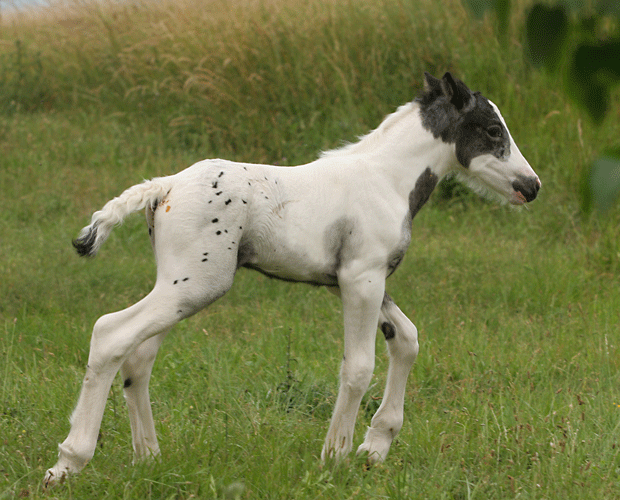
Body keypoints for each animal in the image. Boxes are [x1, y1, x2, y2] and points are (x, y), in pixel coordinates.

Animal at [43, 72, 540, 486]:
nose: (531, 186)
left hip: (178, 286)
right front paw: (335, 456)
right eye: (492, 130)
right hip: (195, 284)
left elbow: (408, 340)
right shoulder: (361, 280)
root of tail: (163, 186)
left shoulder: (359, 281)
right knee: (110, 333)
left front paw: (375, 446)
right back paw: (68, 462)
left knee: (138, 357)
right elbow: (359, 367)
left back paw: (148, 457)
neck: (385, 179)